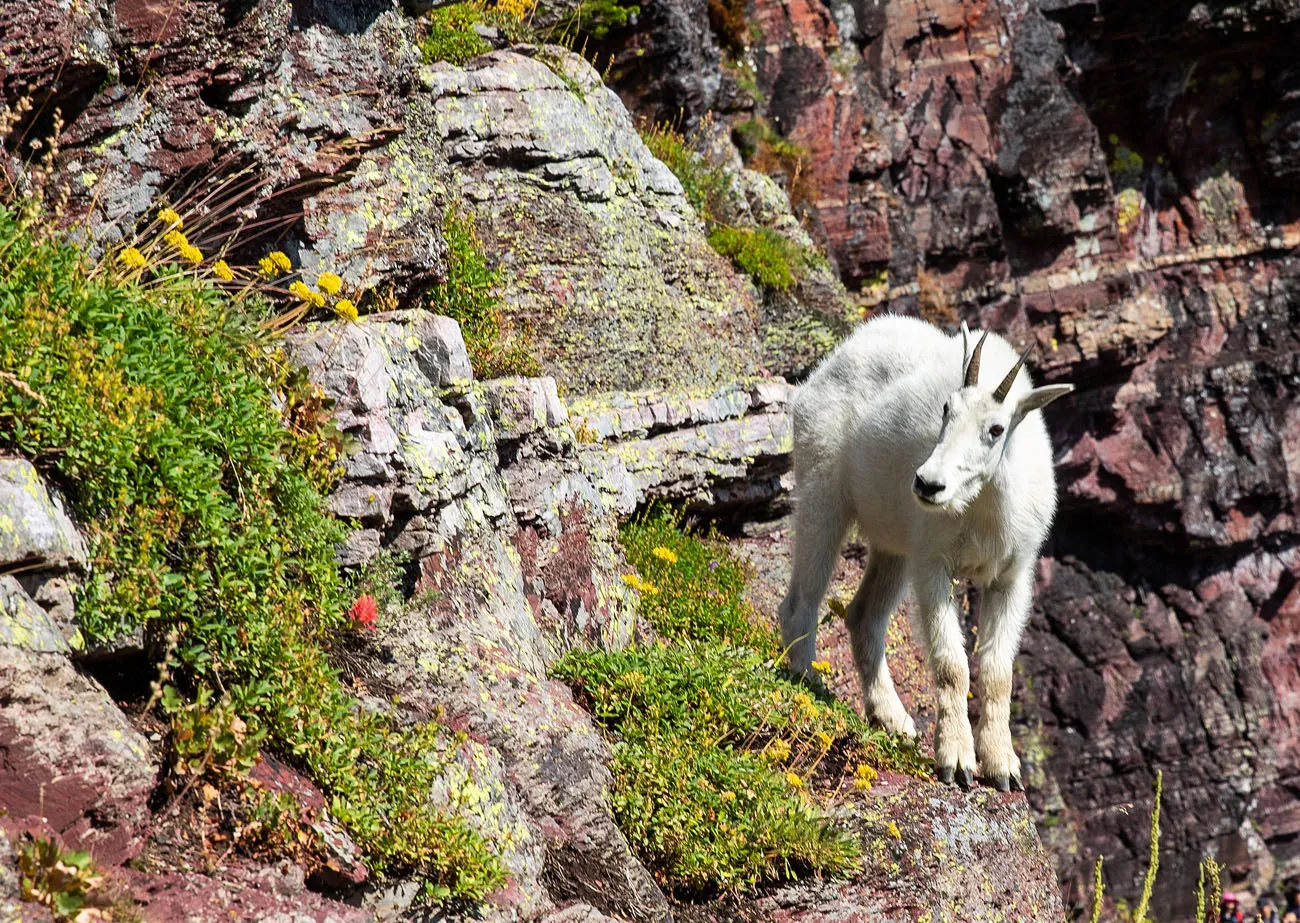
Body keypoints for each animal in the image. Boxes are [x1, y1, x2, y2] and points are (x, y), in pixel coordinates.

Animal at [778, 314, 1072, 790]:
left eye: (996, 429)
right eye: (946, 410)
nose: (927, 484)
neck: (982, 508)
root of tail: (836, 357)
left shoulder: (1011, 576)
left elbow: (997, 672)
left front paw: (1003, 766)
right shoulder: (934, 564)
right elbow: (953, 665)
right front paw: (957, 761)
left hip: (894, 544)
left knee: (864, 615)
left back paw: (893, 719)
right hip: (822, 489)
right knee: (800, 600)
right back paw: (806, 685)